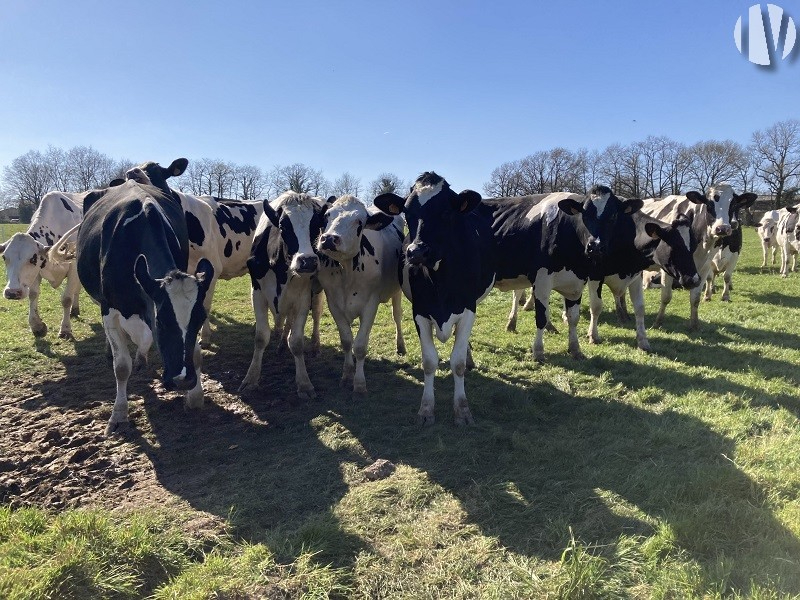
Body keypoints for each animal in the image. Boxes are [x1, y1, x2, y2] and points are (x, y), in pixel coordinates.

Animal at [74, 178, 212, 436]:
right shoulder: (110, 308)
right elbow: (121, 366)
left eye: (201, 319)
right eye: (162, 321)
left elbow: (196, 354)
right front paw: (119, 415)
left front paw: (195, 396)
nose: (183, 380)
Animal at [239, 192, 326, 398]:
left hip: (317, 293)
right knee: (288, 320)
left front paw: (304, 383)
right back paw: (281, 344)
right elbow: (261, 337)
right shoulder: (257, 294)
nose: (308, 261)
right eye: (283, 225)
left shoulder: (303, 298)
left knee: (316, 316)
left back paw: (315, 346)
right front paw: (251, 378)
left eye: (316, 225)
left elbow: (297, 342)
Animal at [374, 172, 496, 426]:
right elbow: (429, 362)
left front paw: (462, 410)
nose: (417, 252)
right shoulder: (420, 312)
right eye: (407, 212)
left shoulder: (468, 310)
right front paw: (426, 409)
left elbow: (457, 362)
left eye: (446, 212)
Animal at [636, 185, 756, 330]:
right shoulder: (667, 268)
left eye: (733, 205)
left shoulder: (705, 266)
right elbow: (666, 296)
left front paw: (694, 324)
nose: (722, 228)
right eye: (708, 204)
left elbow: (696, 298)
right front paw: (658, 322)